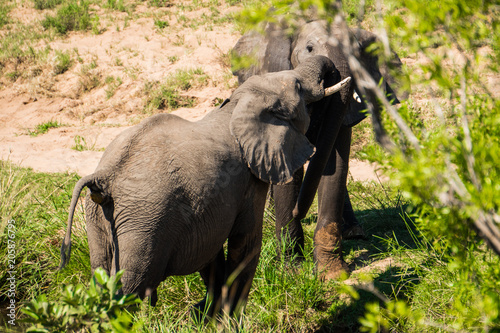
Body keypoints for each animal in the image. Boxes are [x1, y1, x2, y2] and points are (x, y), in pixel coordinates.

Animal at [58, 55, 350, 316]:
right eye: (299, 88)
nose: (298, 213)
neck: (237, 105)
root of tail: (104, 176)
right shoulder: (248, 181)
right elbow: (246, 243)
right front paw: (231, 318)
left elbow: (211, 252)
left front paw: (210, 314)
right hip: (143, 220)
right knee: (130, 288)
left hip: (98, 219)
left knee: (102, 276)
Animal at [231, 20, 406, 280]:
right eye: (310, 48)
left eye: (356, 53)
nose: (299, 213)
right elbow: (291, 170)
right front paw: (291, 271)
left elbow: (334, 166)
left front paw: (332, 273)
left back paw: (354, 231)